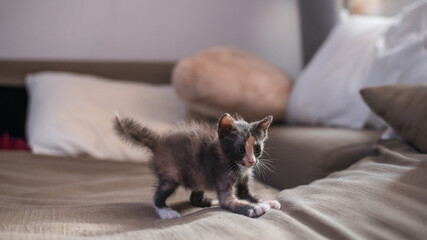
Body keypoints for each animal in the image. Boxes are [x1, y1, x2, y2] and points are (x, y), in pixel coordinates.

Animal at [114, 113, 280, 218]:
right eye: (240, 150)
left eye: (257, 149)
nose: (252, 161)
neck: (235, 165)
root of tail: (159, 142)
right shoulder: (222, 174)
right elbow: (229, 201)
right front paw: (256, 208)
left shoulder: (244, 181)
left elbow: (249, 195)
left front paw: (267, 201)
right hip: (171, 173)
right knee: (157, 196)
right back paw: (166, 212)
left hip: (198, 175)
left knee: (194, 197)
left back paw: (210, 201)